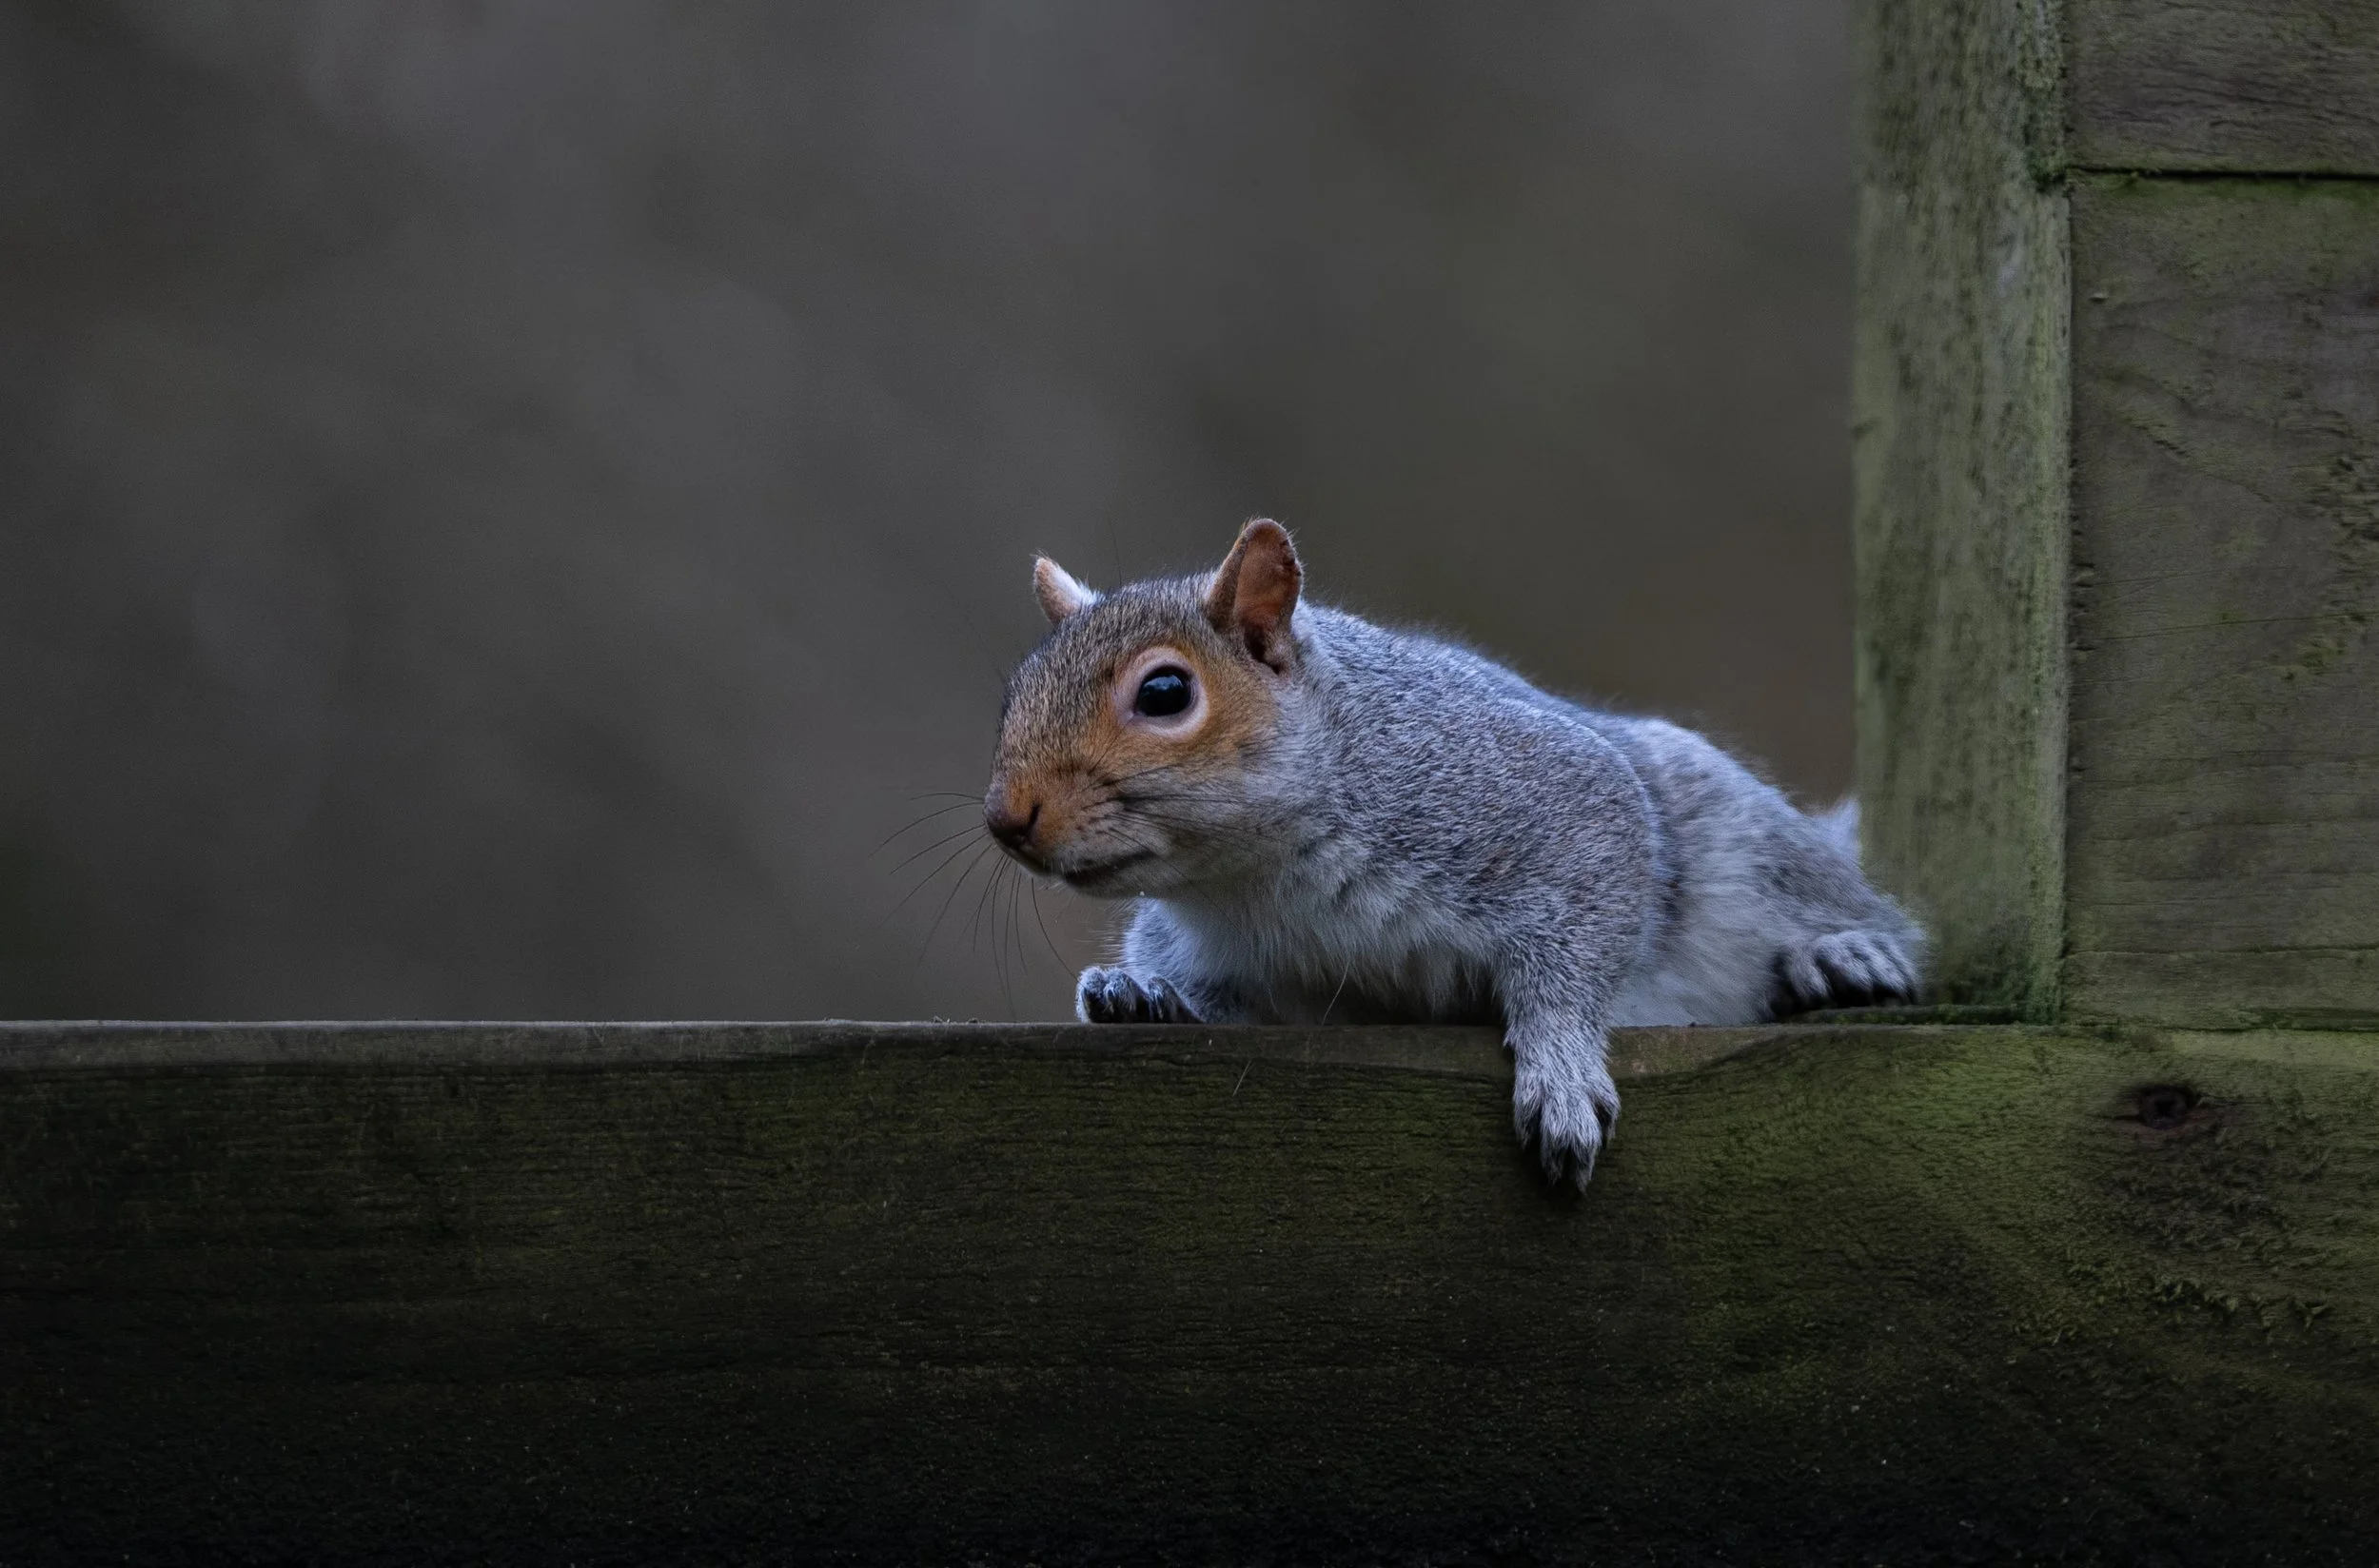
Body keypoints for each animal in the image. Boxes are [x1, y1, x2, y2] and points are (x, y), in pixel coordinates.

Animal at [984, 519, 1923, 1186]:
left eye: (1166, 692)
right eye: (1015, 691)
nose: (1005, 817)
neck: (1259, 876)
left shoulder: (1550, 805)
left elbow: (1578, 948)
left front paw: (1560, 1067)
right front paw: (1142, 993)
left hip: (1747, 845)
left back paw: (1843, 951)